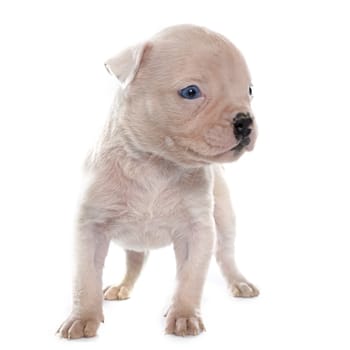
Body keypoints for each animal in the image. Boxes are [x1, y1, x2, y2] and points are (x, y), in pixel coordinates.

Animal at [57, 24, 258, 340]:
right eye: (191, 92)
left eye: (249, 91)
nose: (245, 121)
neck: (155, 164)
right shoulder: (90, 228)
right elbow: (85, 278)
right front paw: (82, 317)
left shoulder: (197, 231)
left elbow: (190, 277)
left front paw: (184, 315)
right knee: (135, 260)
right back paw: (122, 286)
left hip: (224, 217)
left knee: (225, 254)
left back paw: (239, 282)